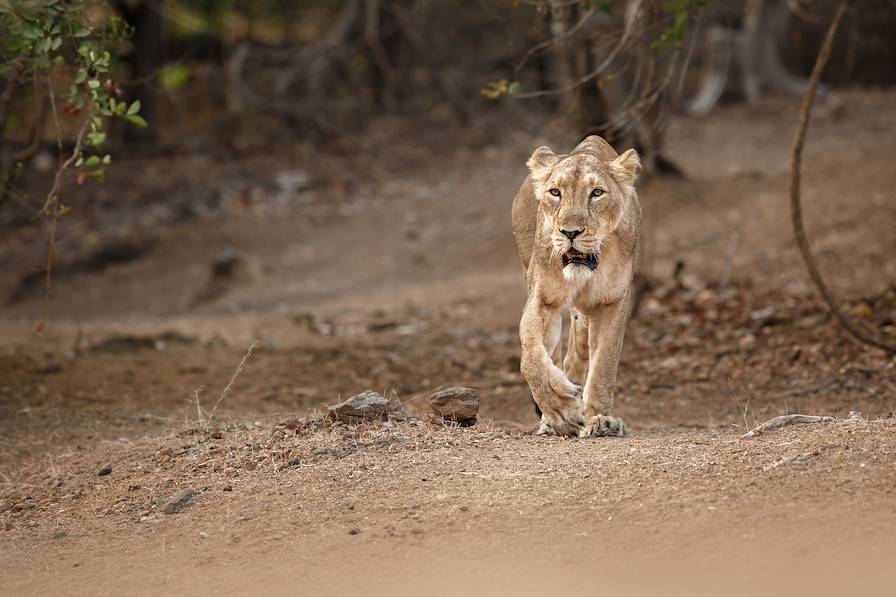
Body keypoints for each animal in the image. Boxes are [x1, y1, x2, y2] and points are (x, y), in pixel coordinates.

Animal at [508, 135, 640, 438]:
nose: (570, 232)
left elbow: (604, 364)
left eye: (597, 193)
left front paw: (601, 419)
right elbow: (530, 357)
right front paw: (561, 412)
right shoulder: (542, 298)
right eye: (555, 192)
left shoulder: (613, 301)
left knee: (577, 354)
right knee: (554, 354)